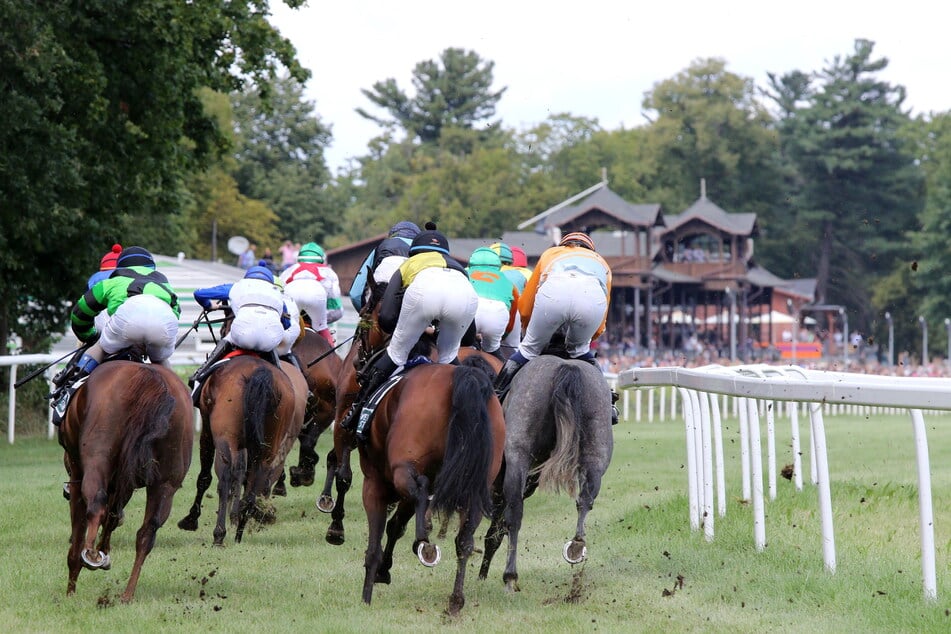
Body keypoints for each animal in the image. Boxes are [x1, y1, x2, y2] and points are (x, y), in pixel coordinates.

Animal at [58, 358, 193, 600]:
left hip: (97, 455)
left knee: (96, 503)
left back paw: (91, 555)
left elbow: (81, 529)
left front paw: (70, 592)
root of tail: (149, 379)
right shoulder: (125, 481)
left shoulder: (77, 474)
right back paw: (127, 594)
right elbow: (112, 517)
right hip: (165, 483)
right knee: (147, 532)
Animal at [177, 350, 300, 544]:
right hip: (269, 445)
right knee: (257, 481)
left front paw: (191, 519)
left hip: (225, 438)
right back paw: (240, 531)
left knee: (225, 476)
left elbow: (205, 477)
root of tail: (260, 373)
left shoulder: (207, 431)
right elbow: (244, 475)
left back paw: (219, 534)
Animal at [356, 350, 506, 612]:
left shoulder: (374, 484)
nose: (358, 364)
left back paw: (424, 541)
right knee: (464, 539)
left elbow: (375, 544)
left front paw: (367, 595)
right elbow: (395, 526)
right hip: (476, 488)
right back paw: (456, 599)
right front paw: (384, 571)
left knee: (421, 488)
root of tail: (464, 376)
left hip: (403, 469)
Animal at [476, 354, 616, 592]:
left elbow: (497, 529)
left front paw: (482, 574)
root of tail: (566, 367)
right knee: (585, 498)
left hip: (519, 453)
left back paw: (510, 576)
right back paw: (576, 546)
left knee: (515, 514)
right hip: (597, 448)